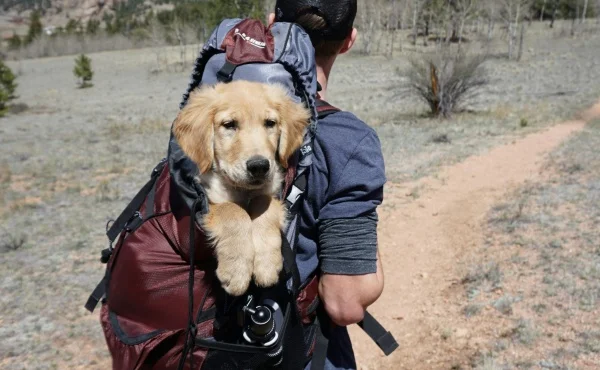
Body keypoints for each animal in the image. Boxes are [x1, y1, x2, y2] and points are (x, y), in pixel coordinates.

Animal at [170, 80, 308, 294]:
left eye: (270, 123)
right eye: (229, 125)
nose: (259, 166)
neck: (243, 191)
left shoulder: (271, 192)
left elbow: (264, 204)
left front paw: (266, 264)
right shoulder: (209, 199)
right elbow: (233, 210)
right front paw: (236, 271)